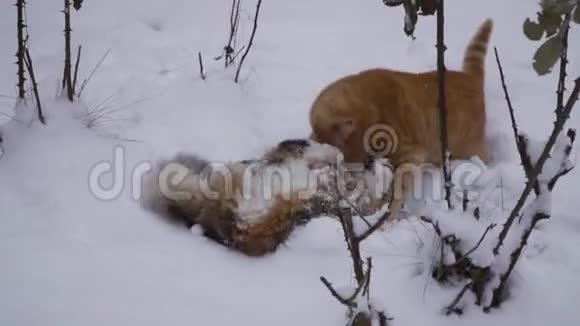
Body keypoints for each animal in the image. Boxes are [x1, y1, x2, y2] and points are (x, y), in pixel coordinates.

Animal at [308, 19, 494, 220]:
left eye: (363, 162)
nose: (365, 169)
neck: (372, 108)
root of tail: (469, 77)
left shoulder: (411, 155)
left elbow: (396, 190)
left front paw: (384, 215)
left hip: (470, 149)